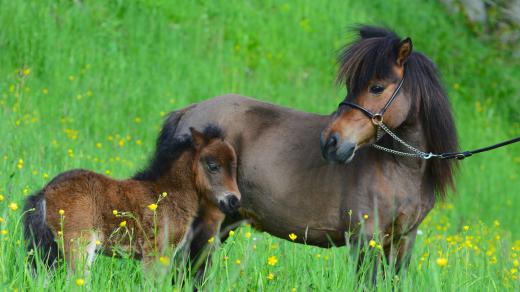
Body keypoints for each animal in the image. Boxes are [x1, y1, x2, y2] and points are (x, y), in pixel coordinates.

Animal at [23, 124, 242, 272]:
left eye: (234, 167)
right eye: (213, 166)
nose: (234, 200)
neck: (168, 194)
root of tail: (46, 191)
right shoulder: (156, 254)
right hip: (79, 245)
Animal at [160, 25, 458, 274]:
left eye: (377, 87)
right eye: (351, 84)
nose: (330, 142)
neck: (400, 170)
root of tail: (188, 113)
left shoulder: (402, 242)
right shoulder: (366, 239)